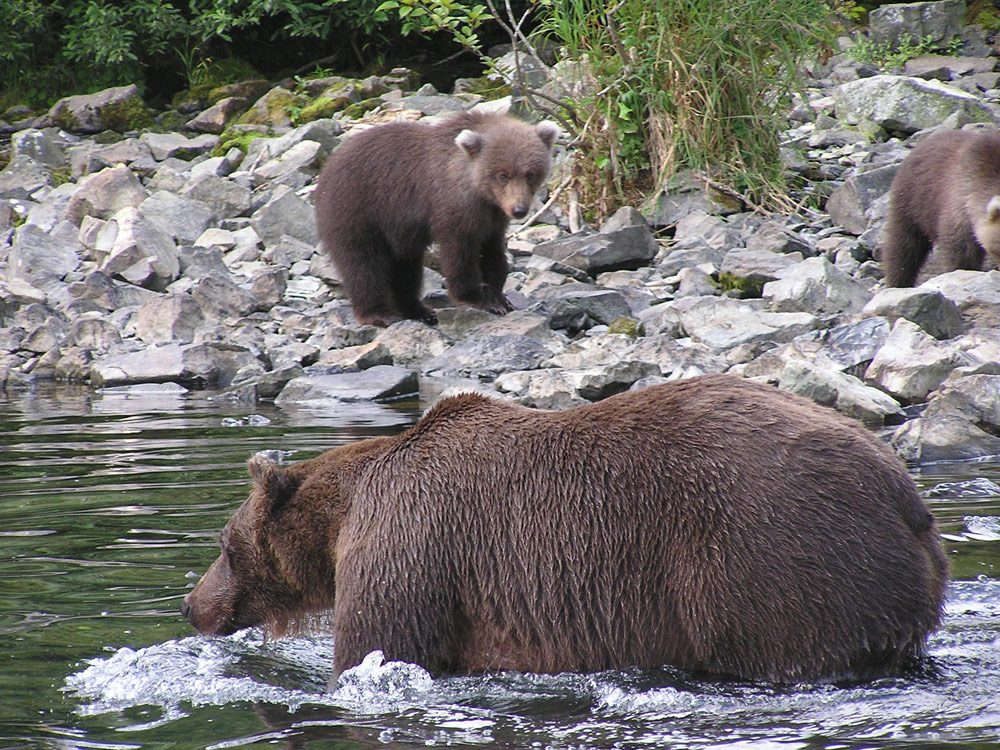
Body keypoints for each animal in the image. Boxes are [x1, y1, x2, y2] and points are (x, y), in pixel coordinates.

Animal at [180, 376, 944, 688]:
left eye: (223, 546)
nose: (190, 604)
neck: (342, 521)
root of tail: (907, 499)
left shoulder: (409, 545)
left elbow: (382, 646)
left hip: (765, 556)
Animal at [312, 111, 560, 326]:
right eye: (502, 175)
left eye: (530, 174)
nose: (519, 210)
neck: (478, 192)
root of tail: (327, 168)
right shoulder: (450, 208)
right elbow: (459, 254)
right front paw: (478, 298)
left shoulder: (493, 219)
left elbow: (493, 253)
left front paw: (500, 297)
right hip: (358, 210)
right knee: (363, 264)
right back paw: (380, 314)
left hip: (398, 234)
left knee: (406, 268)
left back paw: (418, 310)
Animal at [880, 129, 1000, 288]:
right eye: (998, 249)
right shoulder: (959, 207)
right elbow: (960, 253)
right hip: (912, 201)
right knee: (903, 246)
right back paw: (898, 282)